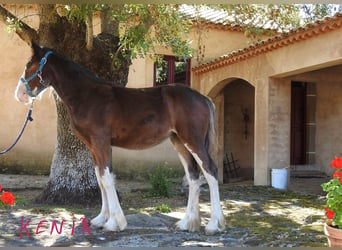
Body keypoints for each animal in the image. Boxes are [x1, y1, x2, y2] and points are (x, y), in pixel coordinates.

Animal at [14, 42, 226, 235]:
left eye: (31, 65)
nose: (19, 95)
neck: (87, 95)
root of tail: (203, 98)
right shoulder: (93, 146)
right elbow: (100, 178)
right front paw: (101, 219)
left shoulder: (101, 142)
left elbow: (107, 179)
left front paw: (114, 223)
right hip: (179, 141)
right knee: (193, 176)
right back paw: (187, 223)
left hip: (193, 140)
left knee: (210, 171)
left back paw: (214, 224)